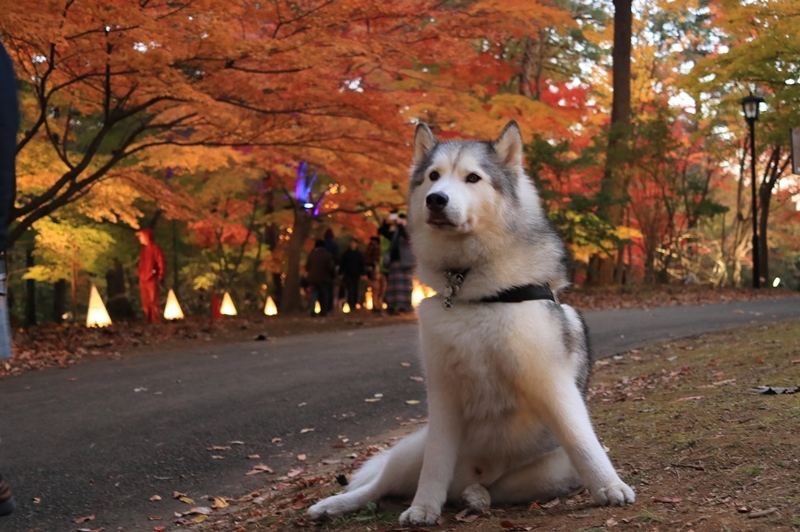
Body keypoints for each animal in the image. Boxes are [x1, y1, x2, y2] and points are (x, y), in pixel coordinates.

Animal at [310, 121, 636, 528]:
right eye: (433, 176)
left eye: (472, 178)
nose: (436, 200)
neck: (474, 292)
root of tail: (467, 478)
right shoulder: (442, 396)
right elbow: (435, 463)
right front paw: (423, 508)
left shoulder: (552, 383)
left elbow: (582, 442)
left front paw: (610, 486)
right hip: (410, 451)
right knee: (379, 486)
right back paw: (334, 505)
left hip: (552, 471)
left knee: (497, 489)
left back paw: (476, 496)